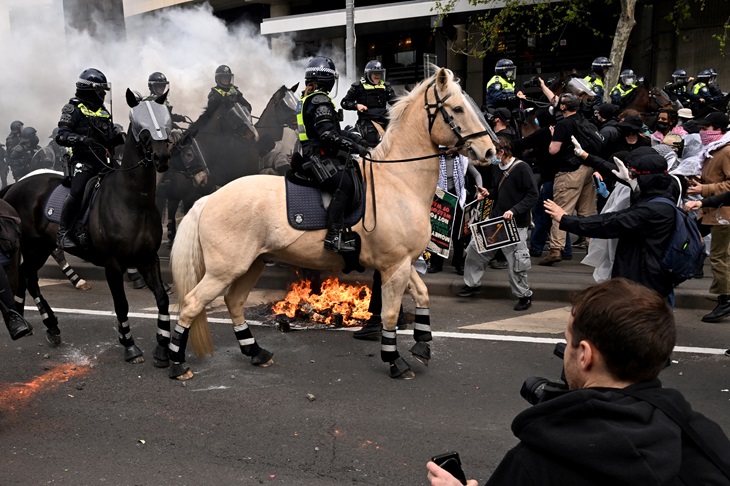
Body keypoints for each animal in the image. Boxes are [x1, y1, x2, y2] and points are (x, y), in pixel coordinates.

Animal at [3, 89, 173, 365]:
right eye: (141, 125)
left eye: (164, 119)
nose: (162, 157)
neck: (133, 201)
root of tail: (15, 186)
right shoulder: (113, 265)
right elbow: (121, 304)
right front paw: (129, 345)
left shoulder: (149, 258)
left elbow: (162, 298)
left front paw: (162, 347)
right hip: (32, 246)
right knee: (28, 277)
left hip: (41, 247)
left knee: (29, 277)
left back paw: (51, 326)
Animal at [168, 67, 496, 381]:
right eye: (457, 109)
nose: (490, 151)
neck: (398, 180)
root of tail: (209, 198)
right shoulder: (394, 266)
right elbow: (390, 315)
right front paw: (395, 360)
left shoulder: (402, 263)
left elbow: (423, 295)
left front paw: (422, 344)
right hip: (225, 270)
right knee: (192, 304)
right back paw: (176, 364)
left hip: (252, 264)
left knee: (234, 302)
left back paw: (255, 352)